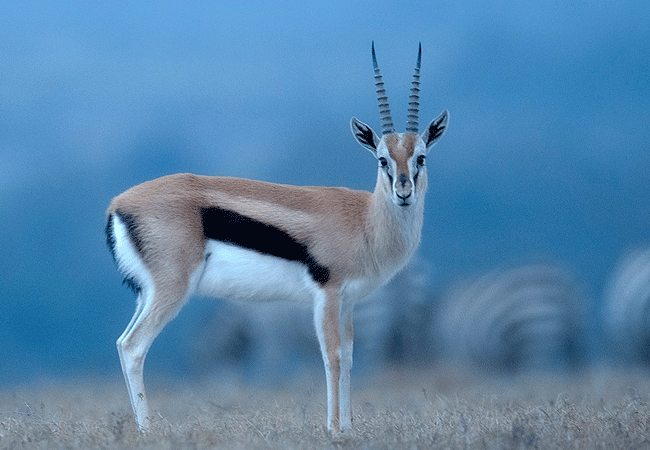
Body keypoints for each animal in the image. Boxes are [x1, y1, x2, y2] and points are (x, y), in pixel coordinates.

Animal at [105, 42, 448, 433]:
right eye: (382, 159)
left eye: (420, 157)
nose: (403, 193)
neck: (365, 220)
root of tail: (119, 204)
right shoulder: (327, 294)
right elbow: (331, 356)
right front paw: (333, 429)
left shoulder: (348, 302)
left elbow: (348, 358)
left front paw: (347, 427)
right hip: (171, 290)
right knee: (134, 347)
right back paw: (148, 430)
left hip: (147, 293)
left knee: (122, 343)